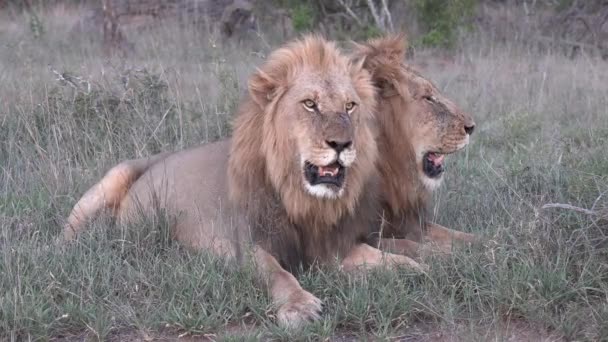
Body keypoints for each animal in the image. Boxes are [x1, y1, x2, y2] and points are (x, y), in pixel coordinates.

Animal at [63, 35, 422, 328]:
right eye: (310, 104)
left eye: (350, 106)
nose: (343, 144)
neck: (300, 199)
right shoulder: (245, 246)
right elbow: (278, 274)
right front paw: (299, 307)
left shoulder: (330, 247)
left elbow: (378, 256)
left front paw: (412, 267)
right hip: (110, 181)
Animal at [352, 36, 480, 258]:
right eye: (428, 98)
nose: (471, 127)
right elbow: (412, 246)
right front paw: (452, 254)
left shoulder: (405, 220)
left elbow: (452, 233)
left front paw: (493, 242)